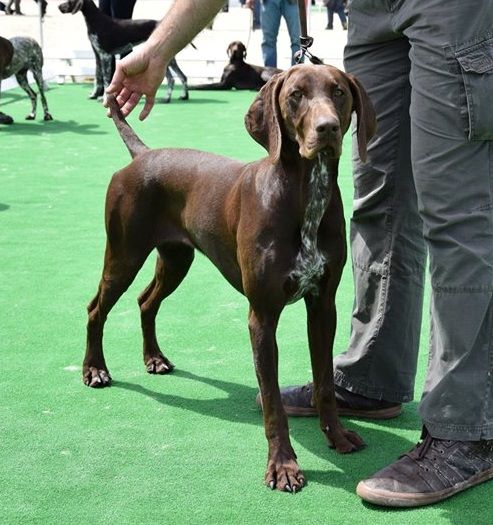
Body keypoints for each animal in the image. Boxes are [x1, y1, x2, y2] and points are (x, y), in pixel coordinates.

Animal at [57, 0, 188, 103]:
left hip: (165, 59)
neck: (95, 20)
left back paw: (168, 98)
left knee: (174, 78)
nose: (58, 7)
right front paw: (94, 95)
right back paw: (183, 96)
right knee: (180, 77)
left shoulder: (106, 56)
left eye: (69, 0)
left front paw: (104, 97)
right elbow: (97, 78)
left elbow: (106, 80)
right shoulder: (98, 55)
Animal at [85, 65, 376, 492]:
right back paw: (94, 369)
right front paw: (283, 466)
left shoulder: (322, 306)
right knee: (96, 309)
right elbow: (272, 402)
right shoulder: (262, 317)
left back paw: (153, 358)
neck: (305, 196)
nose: (327, 128)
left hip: (176, 258)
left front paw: (336, 436)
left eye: (339, 92)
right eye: (296, 95)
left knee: (146, 301)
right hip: (124, 254)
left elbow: (325, 383)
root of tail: (143, 154)